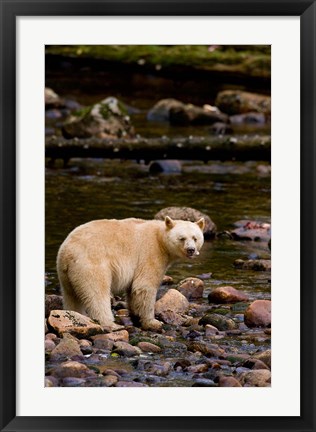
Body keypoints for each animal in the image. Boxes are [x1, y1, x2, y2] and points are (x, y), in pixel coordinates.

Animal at [56, 216, 205, 330]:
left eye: (195, 238)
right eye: (182, 238)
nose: (191, 250)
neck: (160, 239)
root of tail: (67, 251)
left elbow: (133, 290)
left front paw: (136, 317)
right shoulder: (150, 254)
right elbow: (144, 286)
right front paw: (153, 322)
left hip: (67, 273)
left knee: (71, 296)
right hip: (91, 264)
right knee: (97, 293)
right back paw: (111, 324)